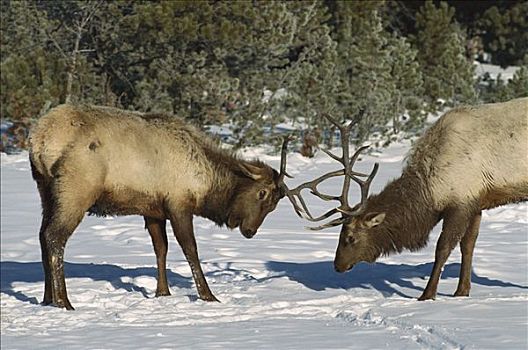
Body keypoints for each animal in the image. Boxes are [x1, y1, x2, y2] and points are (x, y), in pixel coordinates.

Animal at [28, 104, 288, 308]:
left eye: (274, 206)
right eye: (262, 193)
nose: (250, 231)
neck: (206, 184)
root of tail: (38, 140)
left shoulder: (153, 210)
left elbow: (160, 249)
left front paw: (162, 292)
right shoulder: (179, 204)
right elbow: (190, 249)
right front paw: (208, 295)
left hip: (45, 189)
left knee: (42, 235)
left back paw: (47, 298)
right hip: (76, 189)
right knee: (55, 236)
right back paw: (64, 301)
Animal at [284, 98, 528, 300]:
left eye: (350, 237)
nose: (337, 266)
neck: (430, 190)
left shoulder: (460, 201)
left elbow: (443, 248)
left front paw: (427, 295)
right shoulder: (476, 201)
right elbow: (468, 246)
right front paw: (461, 292)